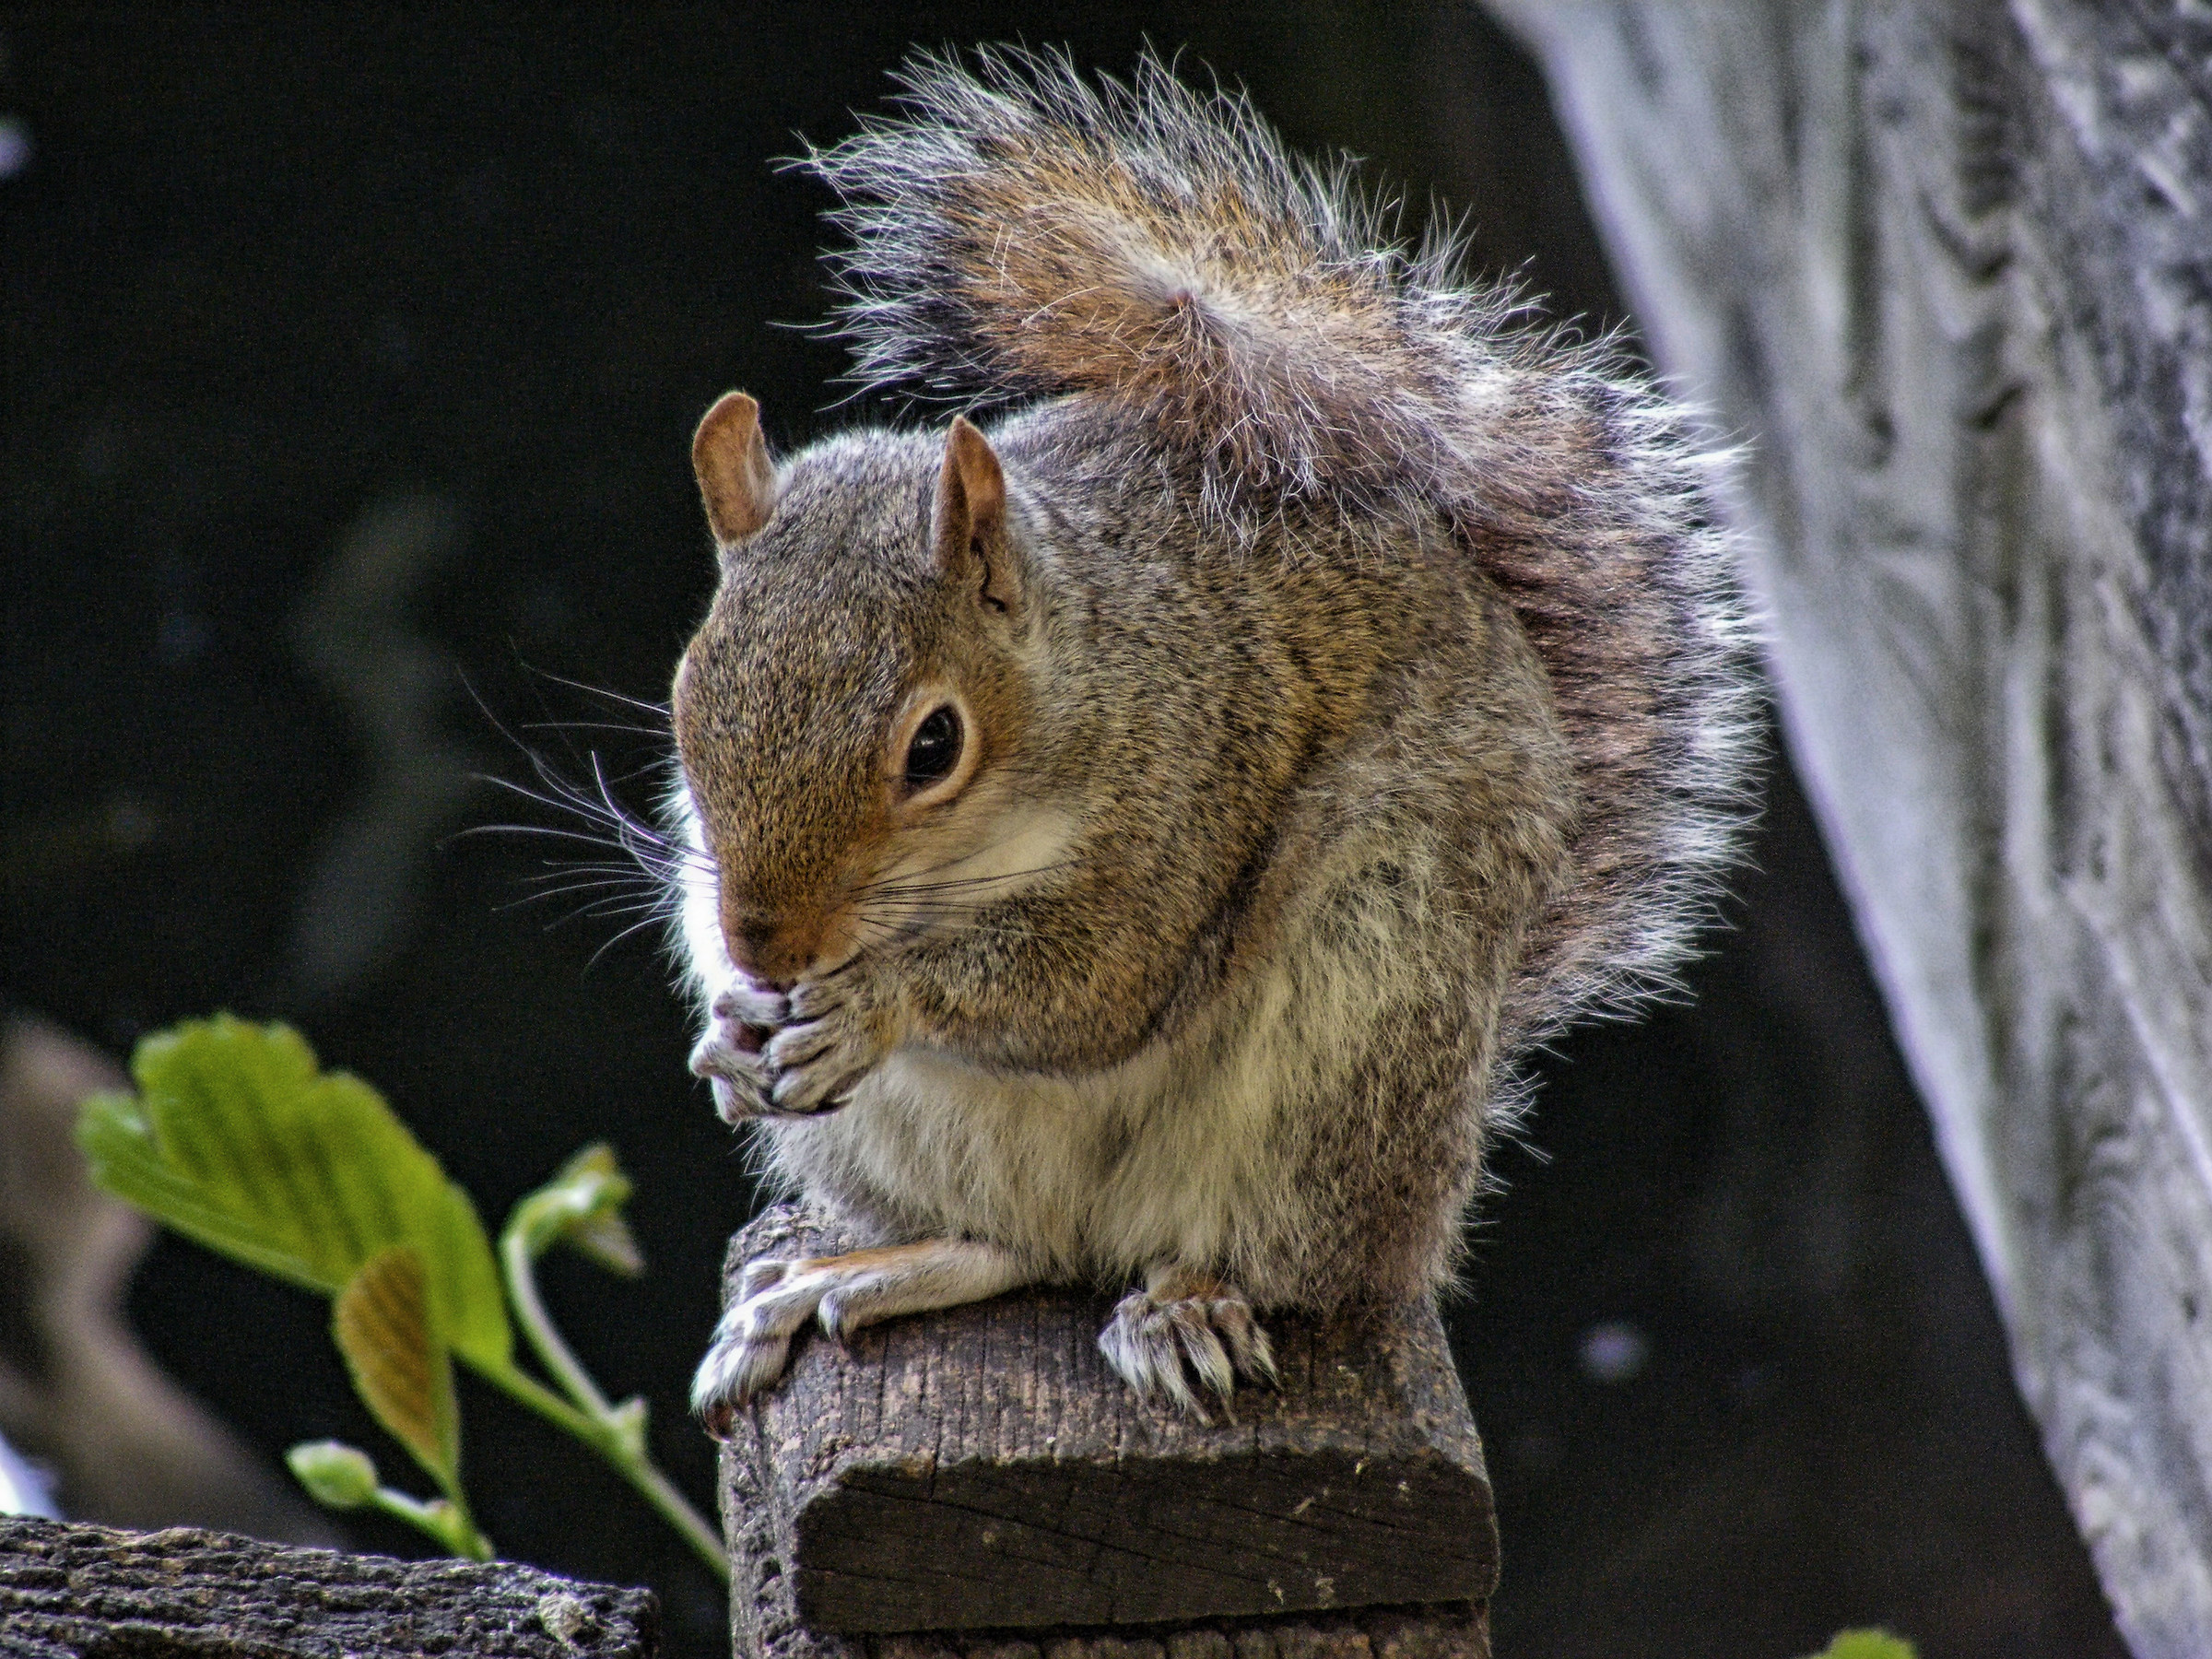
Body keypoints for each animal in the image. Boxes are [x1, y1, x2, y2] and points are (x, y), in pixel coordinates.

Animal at [670, 49, 1756, 1429]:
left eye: (932, 747)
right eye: (686, 699)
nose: (768, 944)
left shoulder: (1189, 779)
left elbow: (1091, 983)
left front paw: (876, 1003)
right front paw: (727, 1029)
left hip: (1356, 1020)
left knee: (1276, 1255)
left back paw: (1186, 1306)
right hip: (904, 1142)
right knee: (1020, 1244)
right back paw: (848, 1275)